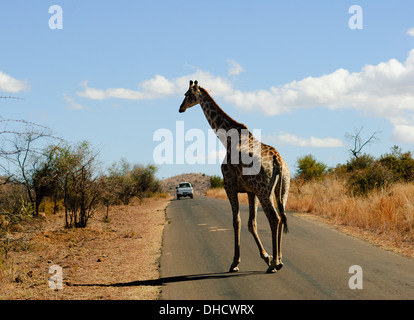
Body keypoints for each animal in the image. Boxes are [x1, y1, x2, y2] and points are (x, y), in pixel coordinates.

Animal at [179, 80, 292, 272]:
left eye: (187, 94)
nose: (180, 108)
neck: (227, 138)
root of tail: (278, 162)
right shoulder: (250, 191)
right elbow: (251, 223)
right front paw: (266, 257)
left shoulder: (229, 184)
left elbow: (236, 221)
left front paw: (235, 263)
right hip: (281, 189)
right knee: (281, 217)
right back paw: (279, 260)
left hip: (264, 191)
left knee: (274, 218)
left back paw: (275, 264)